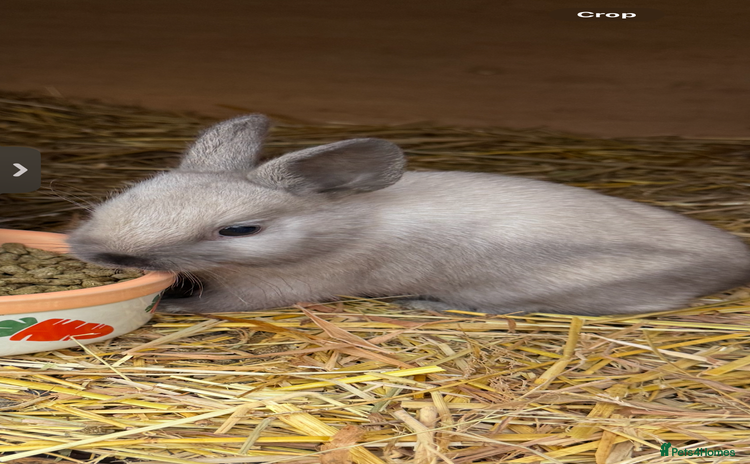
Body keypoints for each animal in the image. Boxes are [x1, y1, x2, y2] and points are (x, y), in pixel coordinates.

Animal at [67, 114, 750, 315]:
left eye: (241, 230)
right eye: (137, 188)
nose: (86, 249)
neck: (332, 227)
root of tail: (734, 255)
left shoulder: (273, 287)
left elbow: (210, 303)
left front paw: (168, 306)